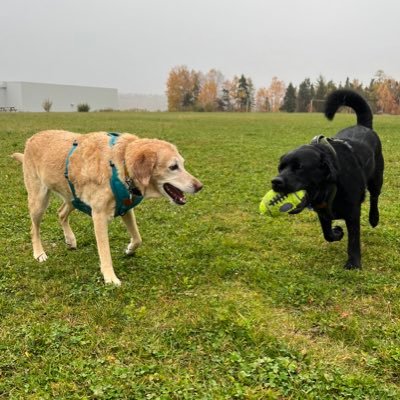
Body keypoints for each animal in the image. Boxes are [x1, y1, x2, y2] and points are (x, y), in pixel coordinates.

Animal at [12, 130, 203, 284]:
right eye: (173, 167)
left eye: (183, 164)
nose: (199, 186)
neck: (122, 163)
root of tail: (31, 139)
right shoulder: (99, 217)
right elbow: (105, 253)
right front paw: (110, 278)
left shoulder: (126, 209)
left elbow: (138, 238)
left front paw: (129, 249)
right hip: (39, 200)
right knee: (34, 228)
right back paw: (39, 253)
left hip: (73, 198)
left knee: (61, 213)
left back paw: (70, 239)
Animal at [272, 90, 384, 268]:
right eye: (281, 167)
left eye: (299, 167)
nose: (276, 182)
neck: (330, 186)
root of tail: (363, 126)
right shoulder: (322, 211)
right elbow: (327, 234)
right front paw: (337, 233)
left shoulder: (353, 213)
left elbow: (354, 240)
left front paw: (353, 264)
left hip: (377, 178)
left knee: (374, 198)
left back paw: (374, 218)